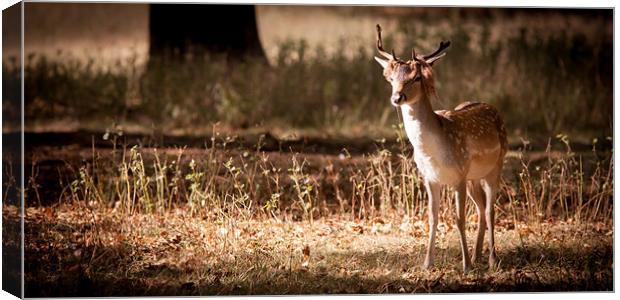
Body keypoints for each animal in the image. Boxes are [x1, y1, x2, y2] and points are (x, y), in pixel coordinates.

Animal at [372, 24, 508, 272]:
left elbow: (459, 219)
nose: (397, 97)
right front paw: (427, 263)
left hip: (496, 165)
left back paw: (492, 259)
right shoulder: (430, 178)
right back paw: (478, 255)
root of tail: (493, 108)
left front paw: (465, 266)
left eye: (416, 77)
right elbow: (432, 217)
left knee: (491, 209)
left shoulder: (458, 176)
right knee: (481, 208)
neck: (433, 153)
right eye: (390, 78)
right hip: (473, 177)